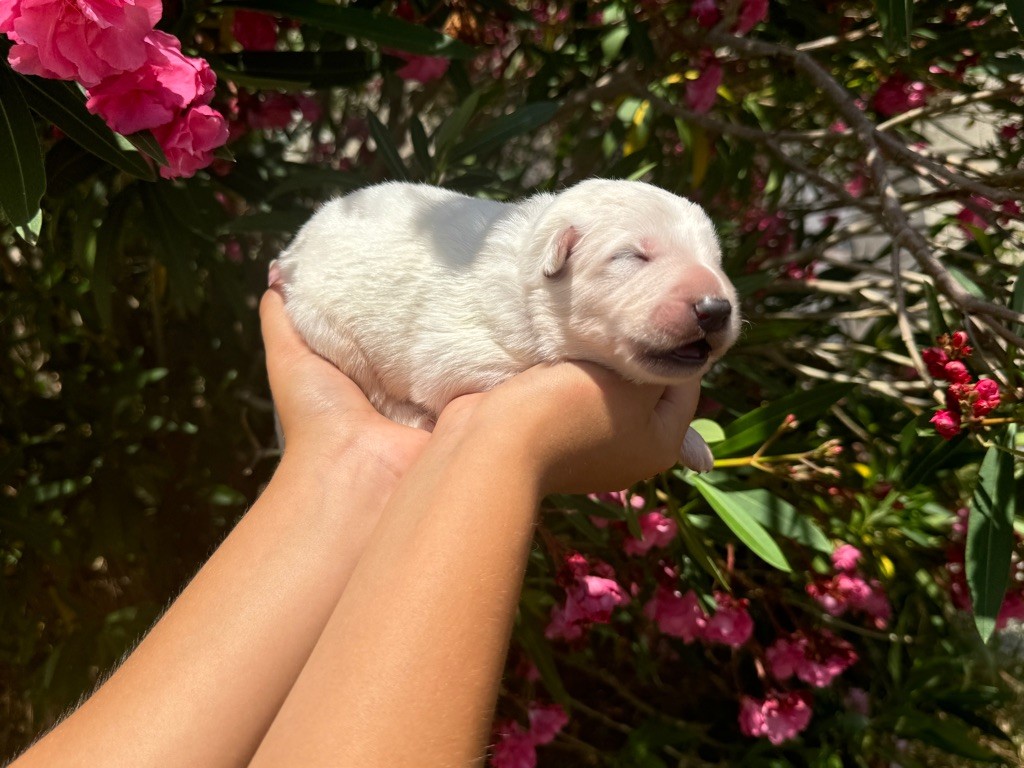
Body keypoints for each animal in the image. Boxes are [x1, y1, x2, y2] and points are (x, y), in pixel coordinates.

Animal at [272, 180, 737, 473]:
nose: (716, 309)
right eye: (632, 256)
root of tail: (295, 246)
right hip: (330, 328)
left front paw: (695, 443)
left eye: (717, 260)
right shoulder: (455, 361)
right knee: (377, 390)